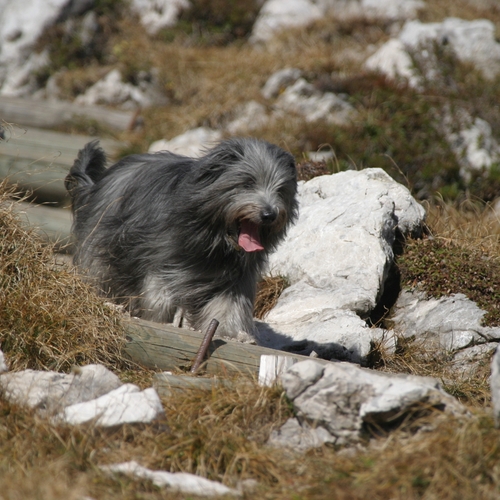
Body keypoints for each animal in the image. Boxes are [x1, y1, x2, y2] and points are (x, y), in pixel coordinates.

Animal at [67, 138, 298, 340]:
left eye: (281, 189)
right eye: (248, 183)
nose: (269, 215)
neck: (213, 240)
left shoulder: (234, 277)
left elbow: (228, 305)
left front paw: (232, 333)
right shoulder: (159, 257)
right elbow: (160, 293)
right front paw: (160, 318)